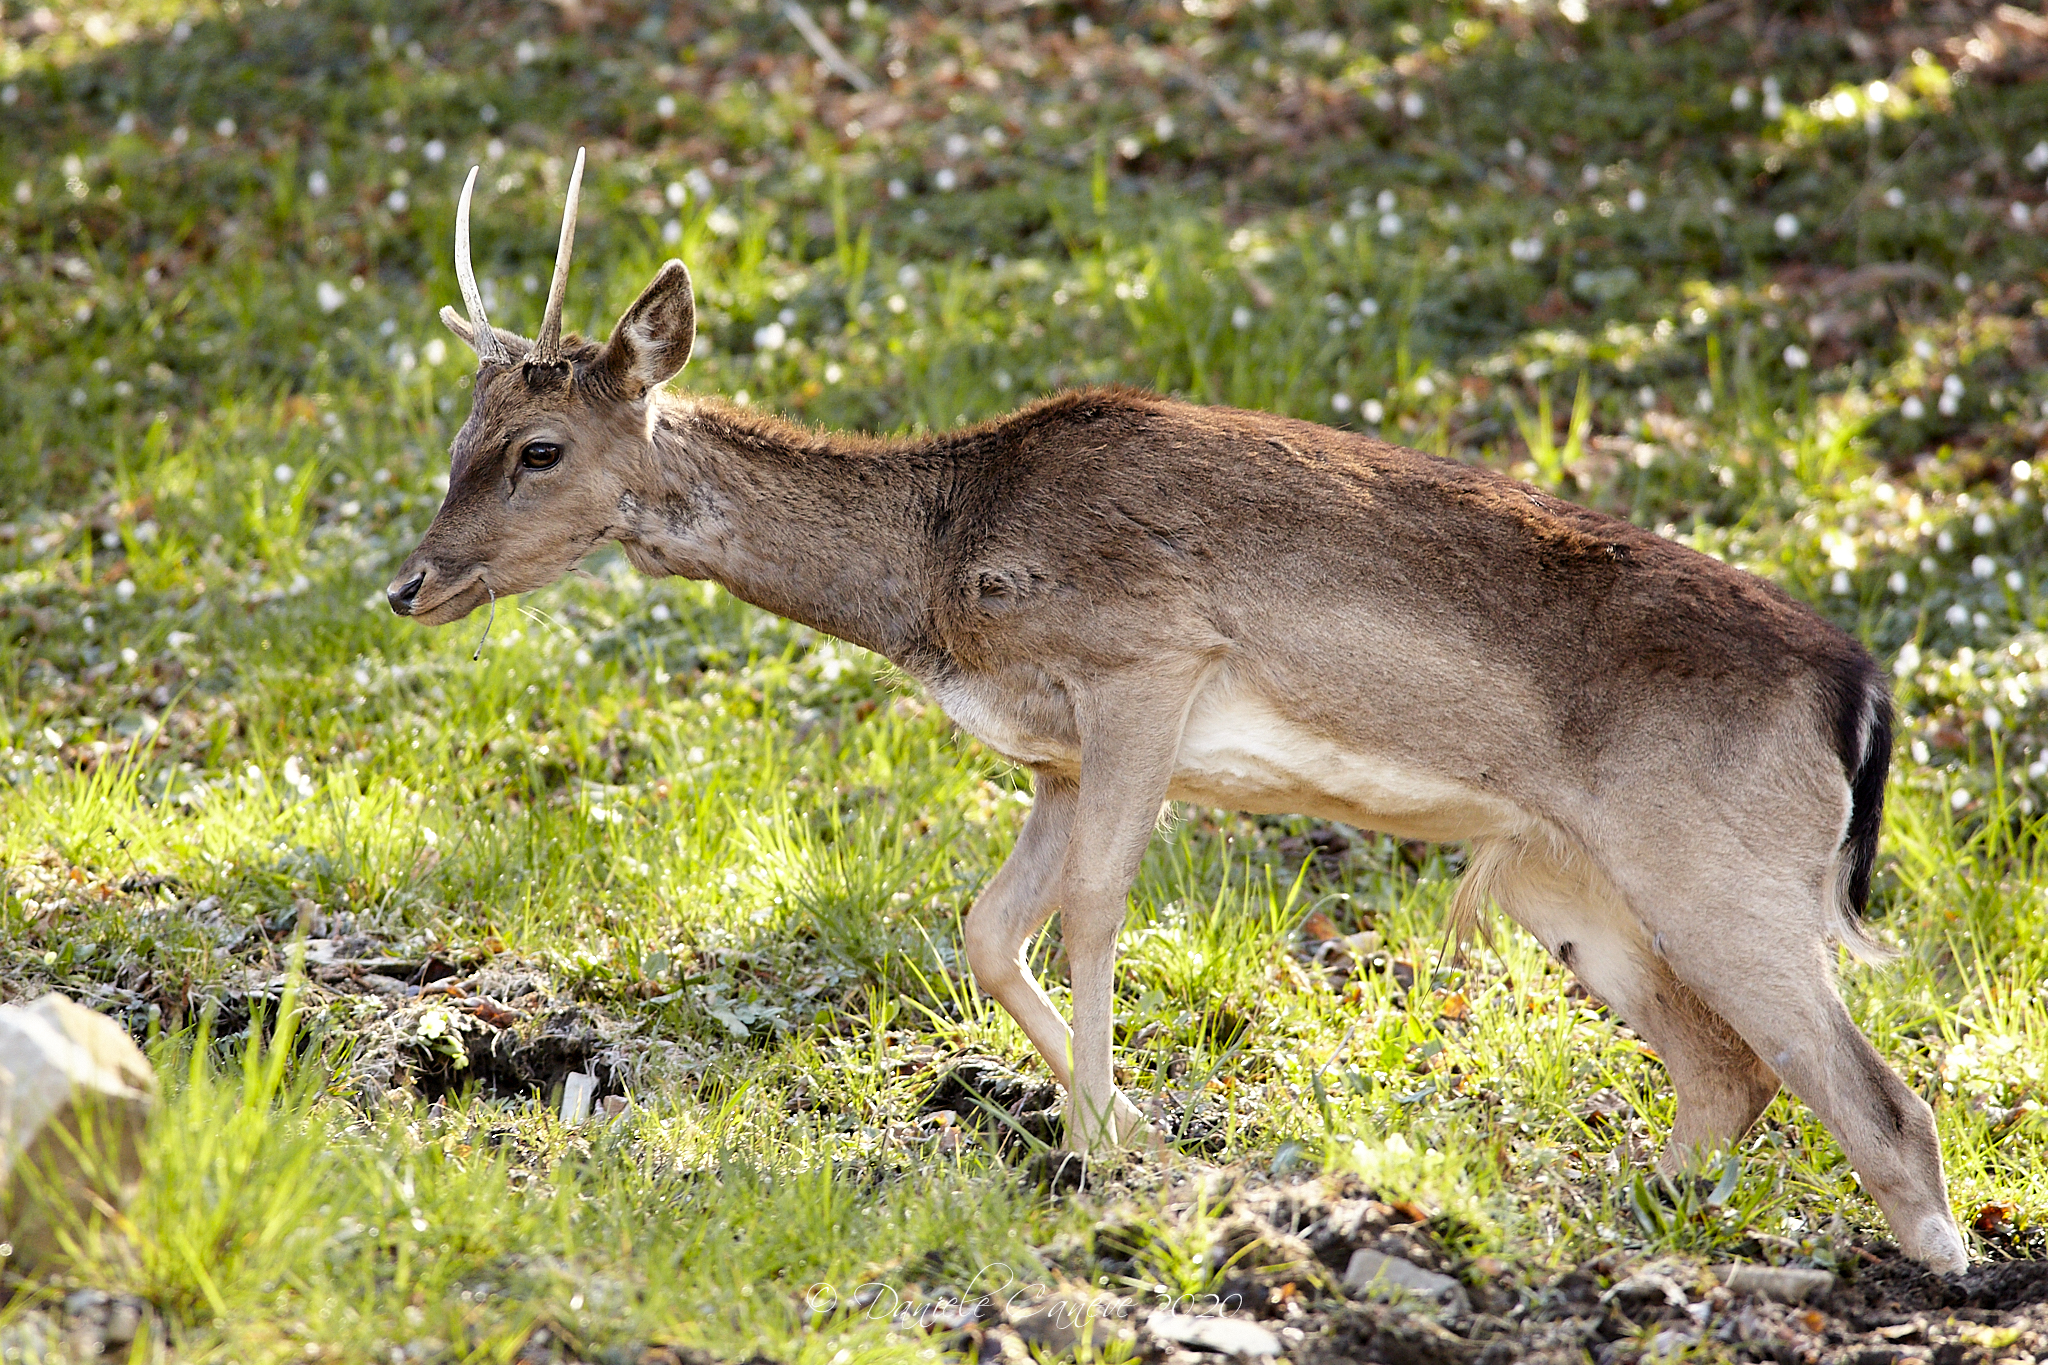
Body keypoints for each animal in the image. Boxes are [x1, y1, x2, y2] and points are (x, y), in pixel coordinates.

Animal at [386, 152, 1970, 1274]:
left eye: (539, 448)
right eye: (456, 436)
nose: (408, 582)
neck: (938, 571)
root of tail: (1860, 692)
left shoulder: (1145, 659)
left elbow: (1093, 911)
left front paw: (1103, 1153)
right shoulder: (1053, 753)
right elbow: (986, 927)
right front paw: (1128, 1122)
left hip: (1722, 865)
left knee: (1882, 1105)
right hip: (1570, 881)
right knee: (1731, 1077)